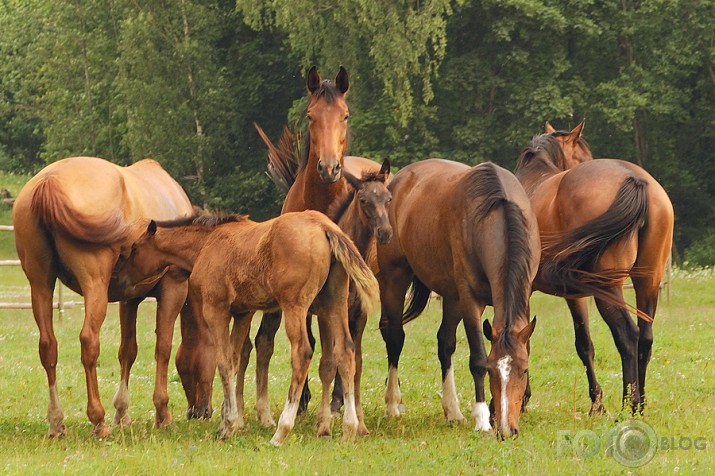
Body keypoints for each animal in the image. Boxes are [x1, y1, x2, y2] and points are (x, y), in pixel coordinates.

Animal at [12, 157, 194, 438]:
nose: (200, 412)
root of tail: (49, 181)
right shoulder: (173, 287)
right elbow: (163, 348)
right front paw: (163, 414)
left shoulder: (129, 299)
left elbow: (128, 351)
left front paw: (123, 413)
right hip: (93, 286)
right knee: (89, 341)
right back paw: (98, 420)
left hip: (40, 284)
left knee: (48, 346)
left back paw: (56, 422)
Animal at [117, 210, 380, 444]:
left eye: (135, 249)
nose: (121, 281)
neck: (206, 244)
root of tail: (325, 226)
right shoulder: (243, 314)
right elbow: (235, 361)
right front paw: (227, 423)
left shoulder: (216, 311)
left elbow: (224, 363)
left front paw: (229, 424)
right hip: (333, 303)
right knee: (345, 351)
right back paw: (349, 429)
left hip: (295, 306)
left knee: (302, 353)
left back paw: (281, 431)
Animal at [378, 160, 540, 438]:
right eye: (492, 371)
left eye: (524, 370)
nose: (507, 430)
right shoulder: (470, 300)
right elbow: (477, 358)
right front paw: (483, 418)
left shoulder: (523, 296)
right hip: (395, 278)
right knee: (395, 338)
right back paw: (392, 404)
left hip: (451, 296)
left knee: (445, 344)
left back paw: (452, 411)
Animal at [516, 132, 676, 414]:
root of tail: (634, 178)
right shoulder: (576, 295)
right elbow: (584, 344)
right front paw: (596, 402)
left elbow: (525, 339)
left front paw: (522, 399)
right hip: (648, 282)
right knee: (645, 338)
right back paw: (641, 404)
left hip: (608, 289)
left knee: (628, 336)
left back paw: (629, 404)